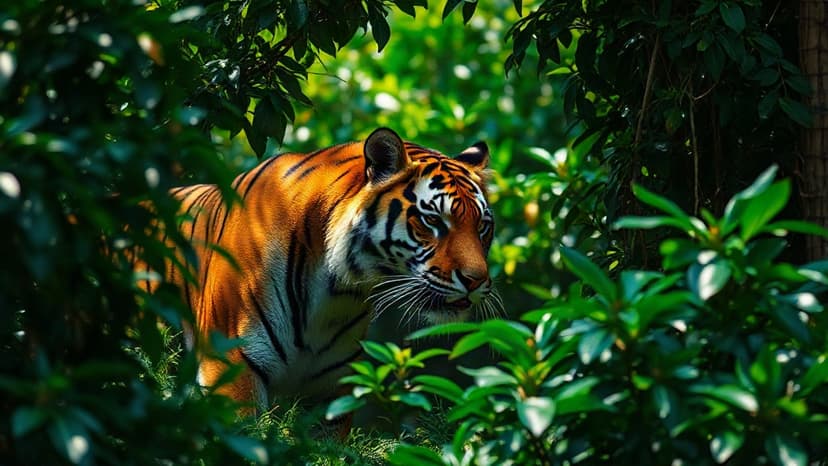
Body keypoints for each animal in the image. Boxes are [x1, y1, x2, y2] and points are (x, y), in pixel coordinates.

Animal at [139, 127, 499, 412]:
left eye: (482, 226)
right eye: (433, 221)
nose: (476, 280)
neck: (335, 291)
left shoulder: (333, 385)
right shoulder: (229, 364)